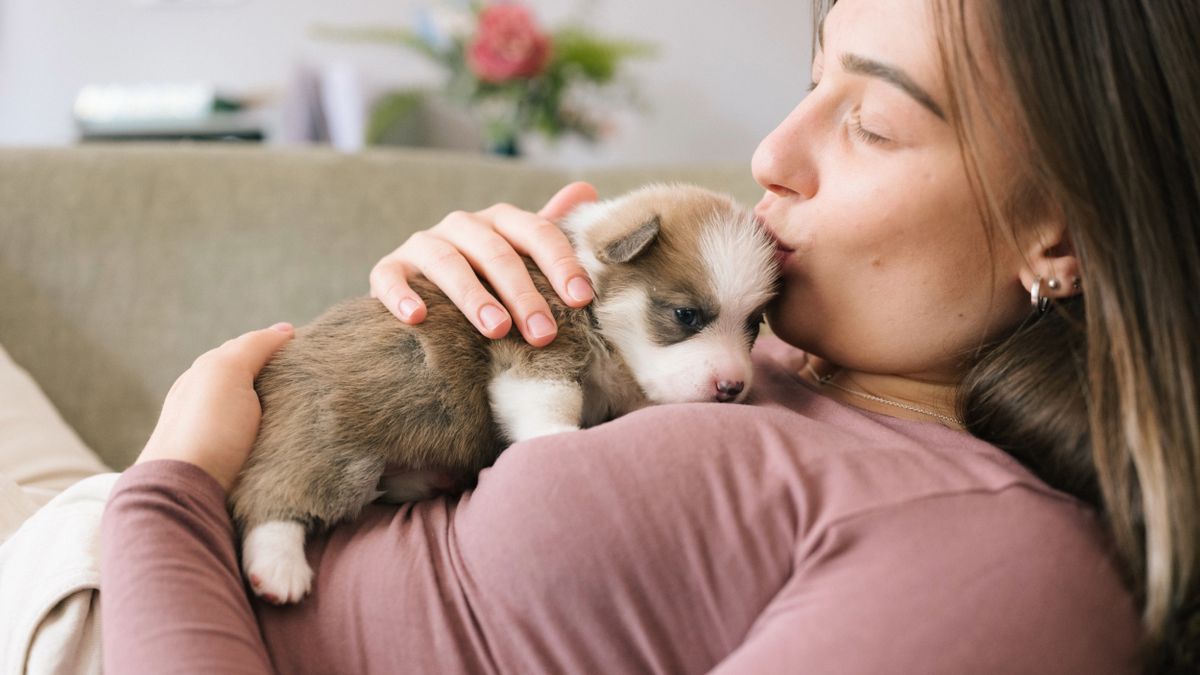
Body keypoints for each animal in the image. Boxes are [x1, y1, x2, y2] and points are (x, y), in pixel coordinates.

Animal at [226, 182, 777, 598]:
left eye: (753, 325)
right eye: (686, 315)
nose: (733, 386)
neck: (591, 284)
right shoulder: (536, 344)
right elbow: (549, 401)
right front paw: (560, 440)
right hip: (327, 438)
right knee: (272, 496)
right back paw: (277, 569)